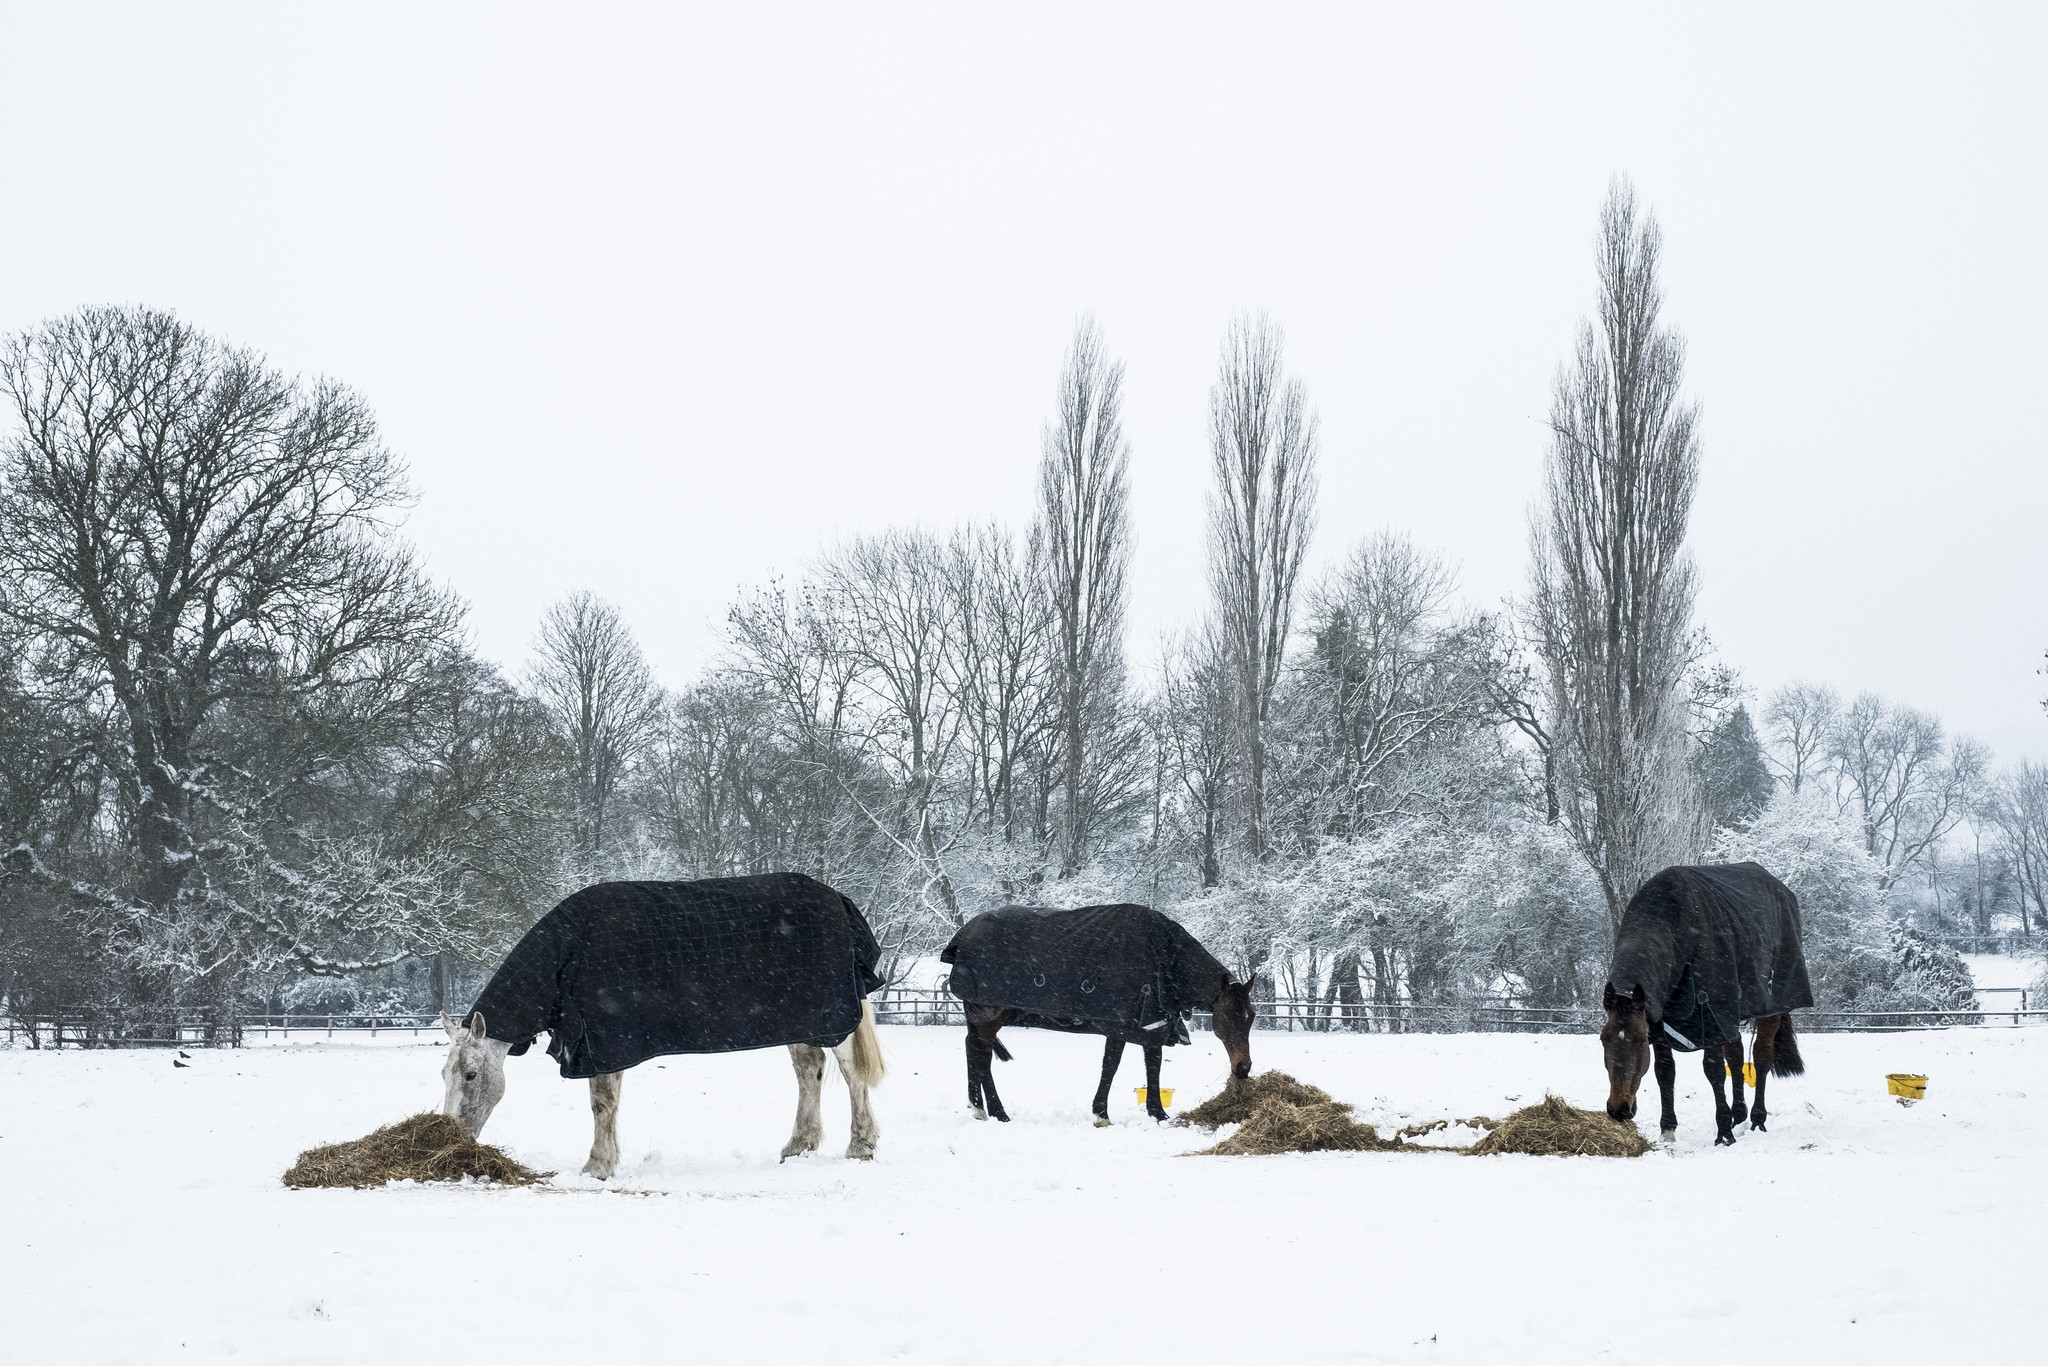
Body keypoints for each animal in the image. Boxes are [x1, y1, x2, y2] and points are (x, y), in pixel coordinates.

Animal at [440, 876, 888, 1179]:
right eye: (444, 1074)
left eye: (471, 1074)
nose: (451, 1136)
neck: (568, 955)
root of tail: (837, 899)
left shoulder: (606, 1041)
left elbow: (601, 1103)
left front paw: (597, 1166)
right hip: (801, 1020)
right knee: (809, 1070)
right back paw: (799, 1146)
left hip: (834, 1017)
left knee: (851, 1074)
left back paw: (861, 1146)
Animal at [937, 909, 1253, 1122]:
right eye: (1229, 1016)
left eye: (1250, 1016)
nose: (1243, 1068)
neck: (1163, 957)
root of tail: (965, 934)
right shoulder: (1119, 1027)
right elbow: (1111, 1066)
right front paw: (1102, 1113)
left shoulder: (1152, 1026)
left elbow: (1154, 1066)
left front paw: (1158, 1113)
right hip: (988, 1015)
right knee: (980, 1054)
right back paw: (996, 1111)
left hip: (984, 1017)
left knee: (975, 1051)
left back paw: (981, 1107)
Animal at [1597, 864, 1810, 1146]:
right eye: (1603, 1039)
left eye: (1641, 1041)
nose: (1618, 1109)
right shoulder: (1661, 1024)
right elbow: (1665, 1072)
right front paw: (1668, 1129)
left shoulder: (1709, 1019)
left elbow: (1714, 1071)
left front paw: (1724, 1134)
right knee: (1736, 1056)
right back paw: (1739, 1114)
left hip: (1768, 1008)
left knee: (1761, 1057)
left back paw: (1756, 1119)